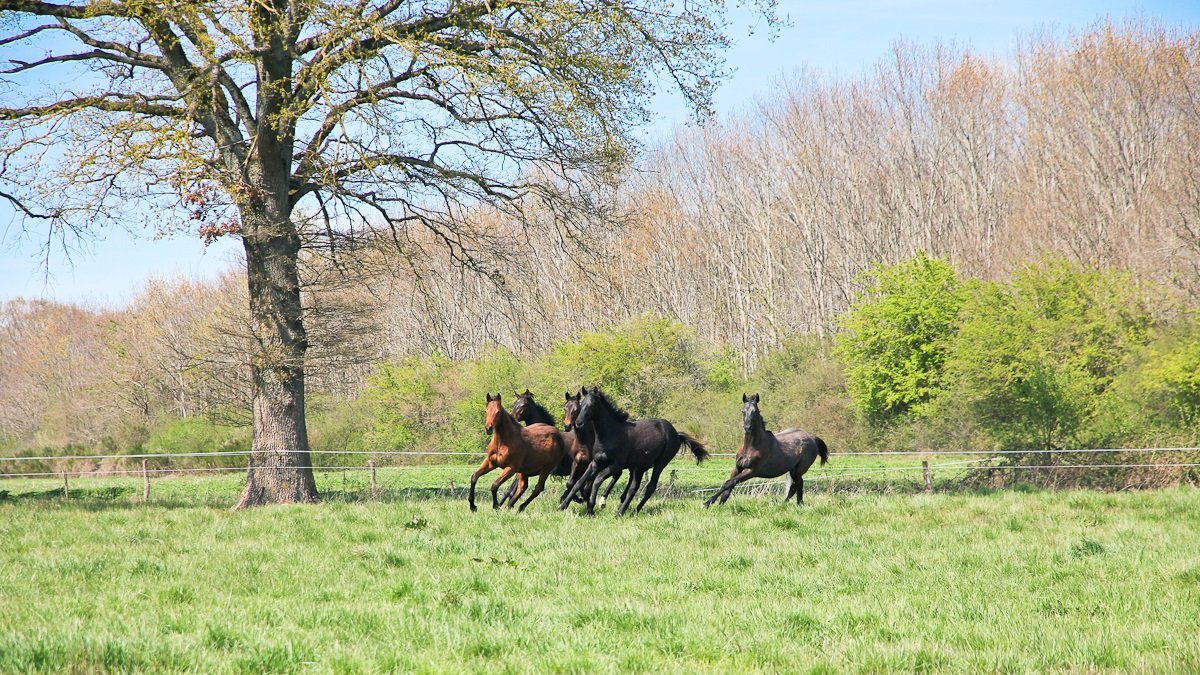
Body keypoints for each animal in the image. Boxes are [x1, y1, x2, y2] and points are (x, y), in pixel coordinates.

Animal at [558, 387, 708, 515]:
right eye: (582, 404)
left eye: (590, 405)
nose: (578, 423)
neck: (610, 434)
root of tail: (677, 434)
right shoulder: (595, 463)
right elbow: (579, 482)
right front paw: (563, 505)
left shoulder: (616, 465)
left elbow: (597, 480)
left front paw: (590, 508)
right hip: (640, 467)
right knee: (634, 488)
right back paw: (622, 511)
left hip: (660, 464)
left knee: (650, 487)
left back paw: (631, 511)